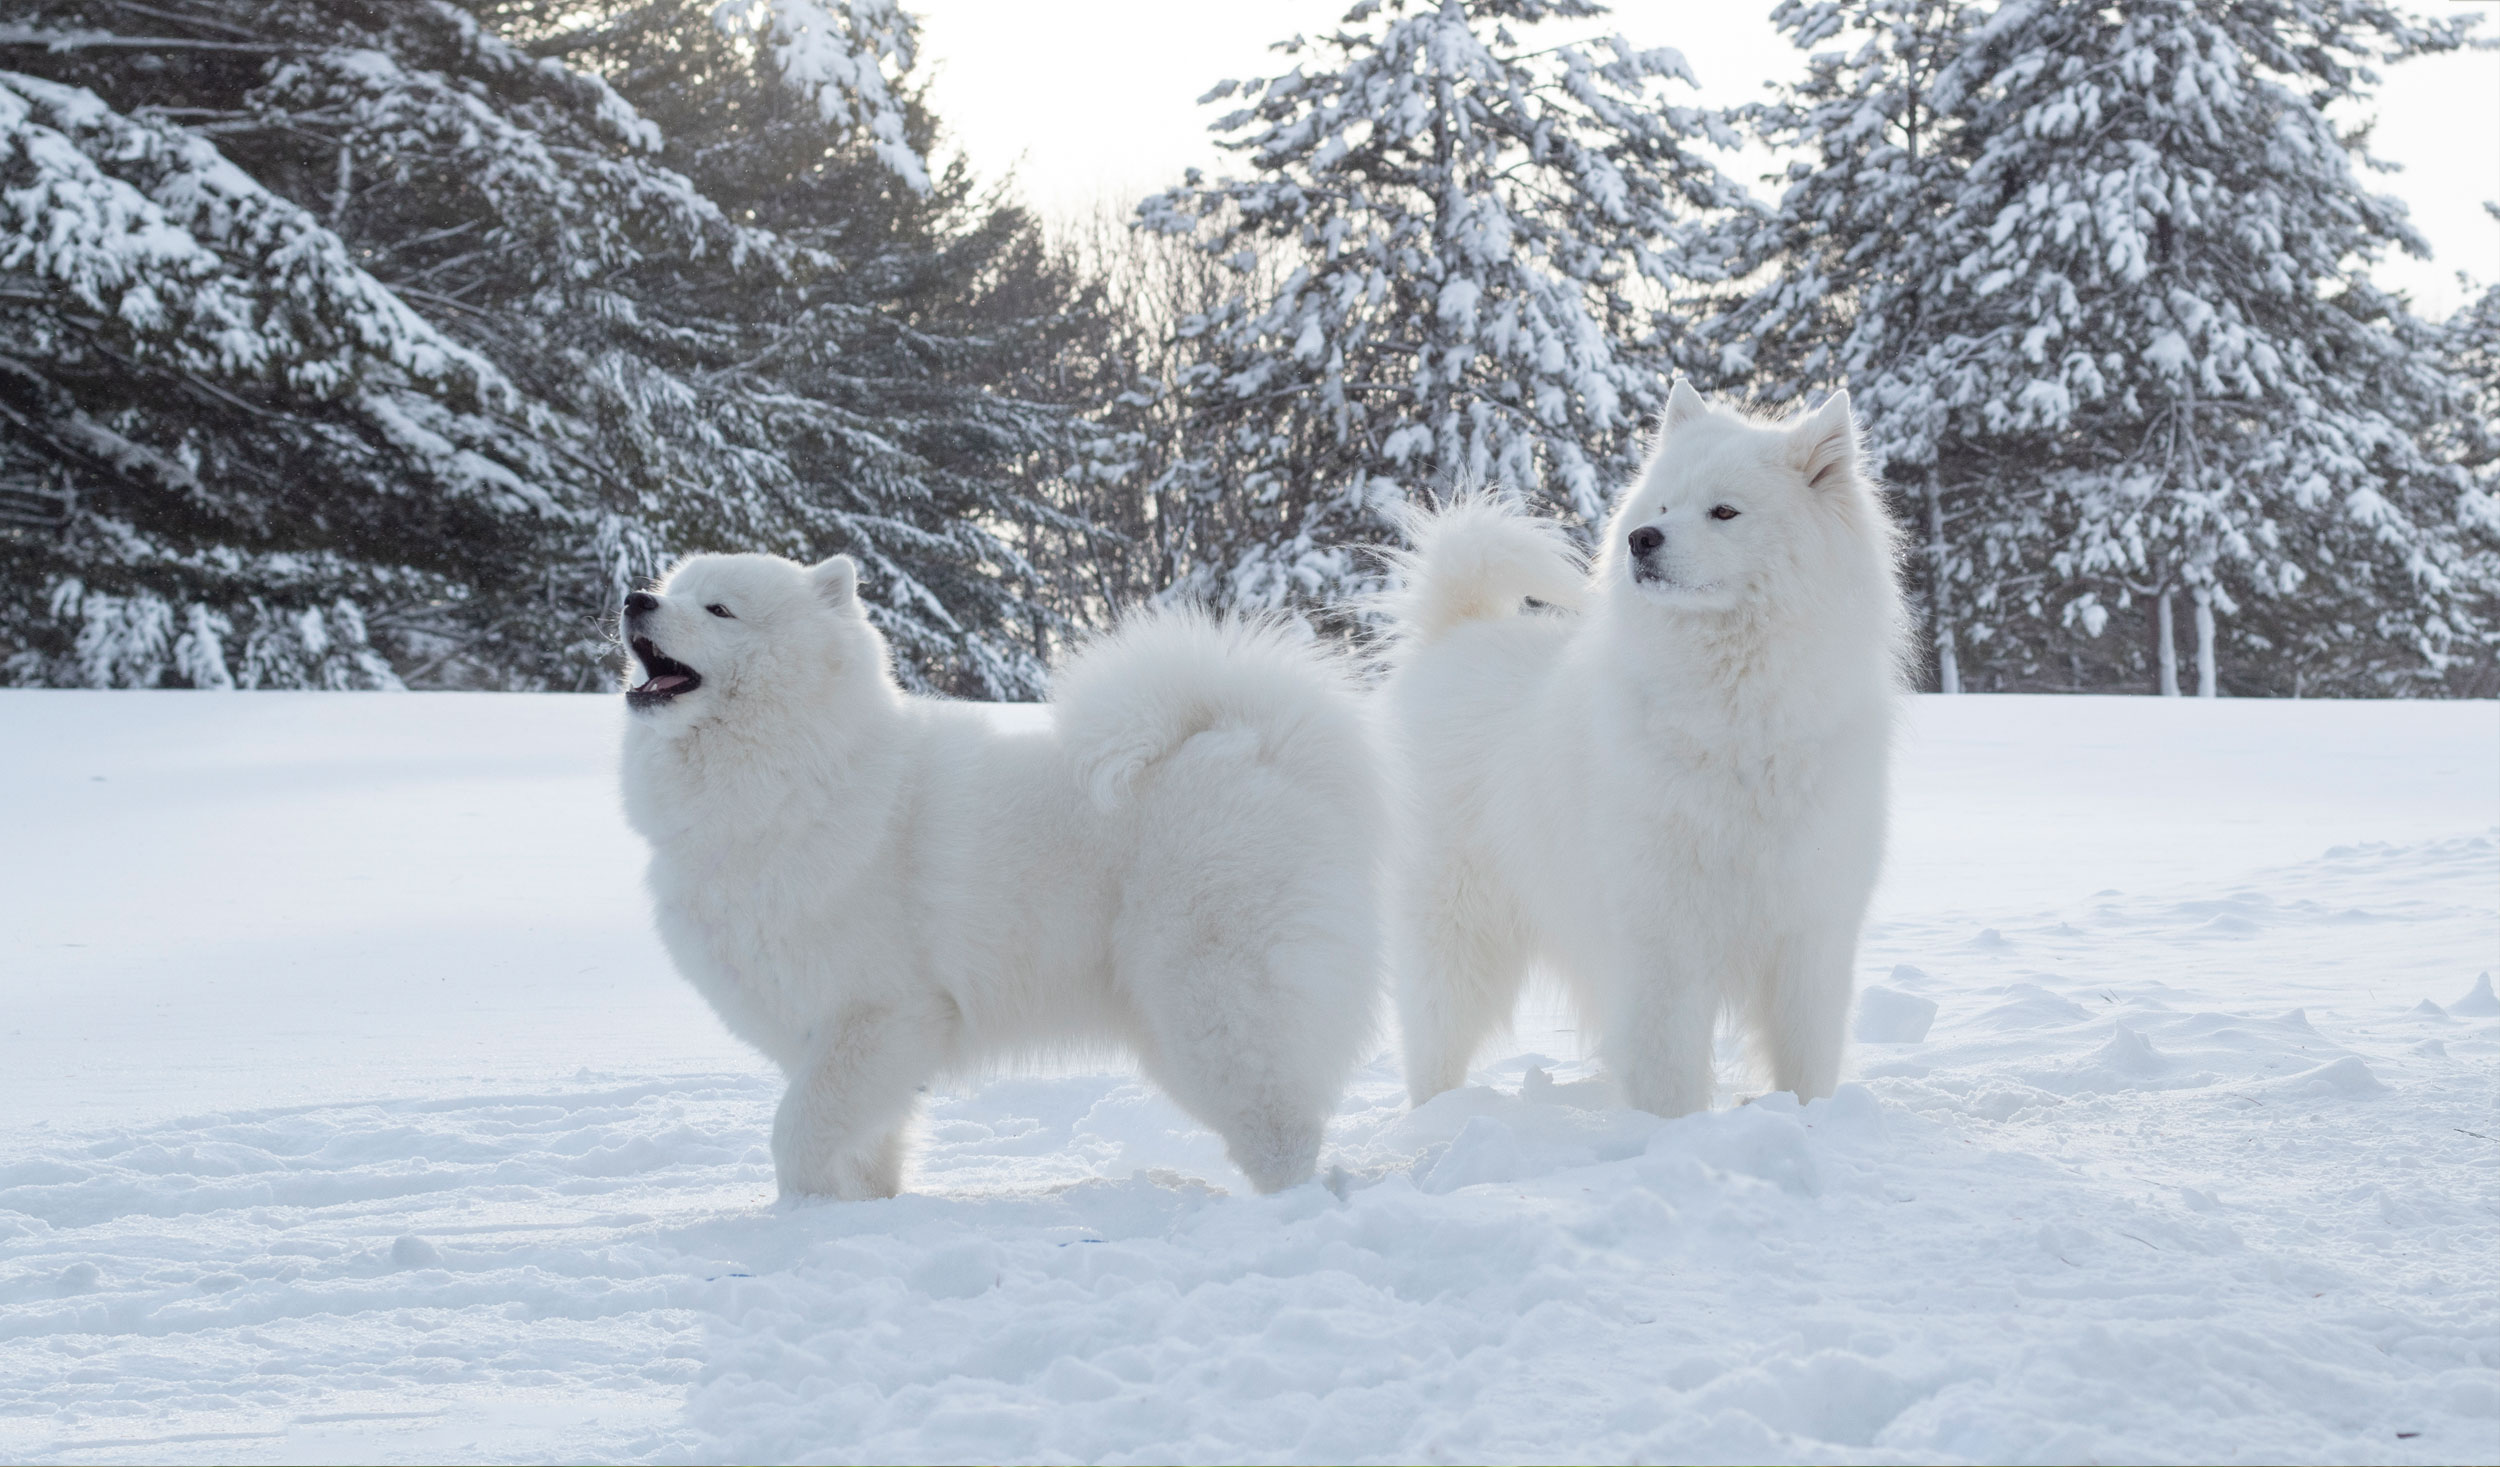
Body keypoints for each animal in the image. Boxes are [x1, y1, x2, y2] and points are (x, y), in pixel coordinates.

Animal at [612, 557, 1380, 1199]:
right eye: (672, 586)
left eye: (718, 609)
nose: (635, 597)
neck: (799, 778)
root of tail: (1264, 749)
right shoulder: (835, 1032)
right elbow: (867, 1145)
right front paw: (862, 1211)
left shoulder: (882, 1016)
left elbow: (797, 1130)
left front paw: (799, 1216)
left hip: (1210, 1003)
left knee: (1281, 1130)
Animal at [1390, 379, 1890, 1114]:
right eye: (1661, 506)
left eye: (1723, 510)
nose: (1639, 539)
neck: (1734, 715)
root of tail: (1458, 632)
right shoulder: (1661, 936)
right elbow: (1667, 1066)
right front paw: (1670, 1131)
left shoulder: (1810, 929)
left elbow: (1805, 1058)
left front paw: (1805, 1120)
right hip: (1457, 929)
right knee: (1433, 1041)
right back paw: (1434, 1120)